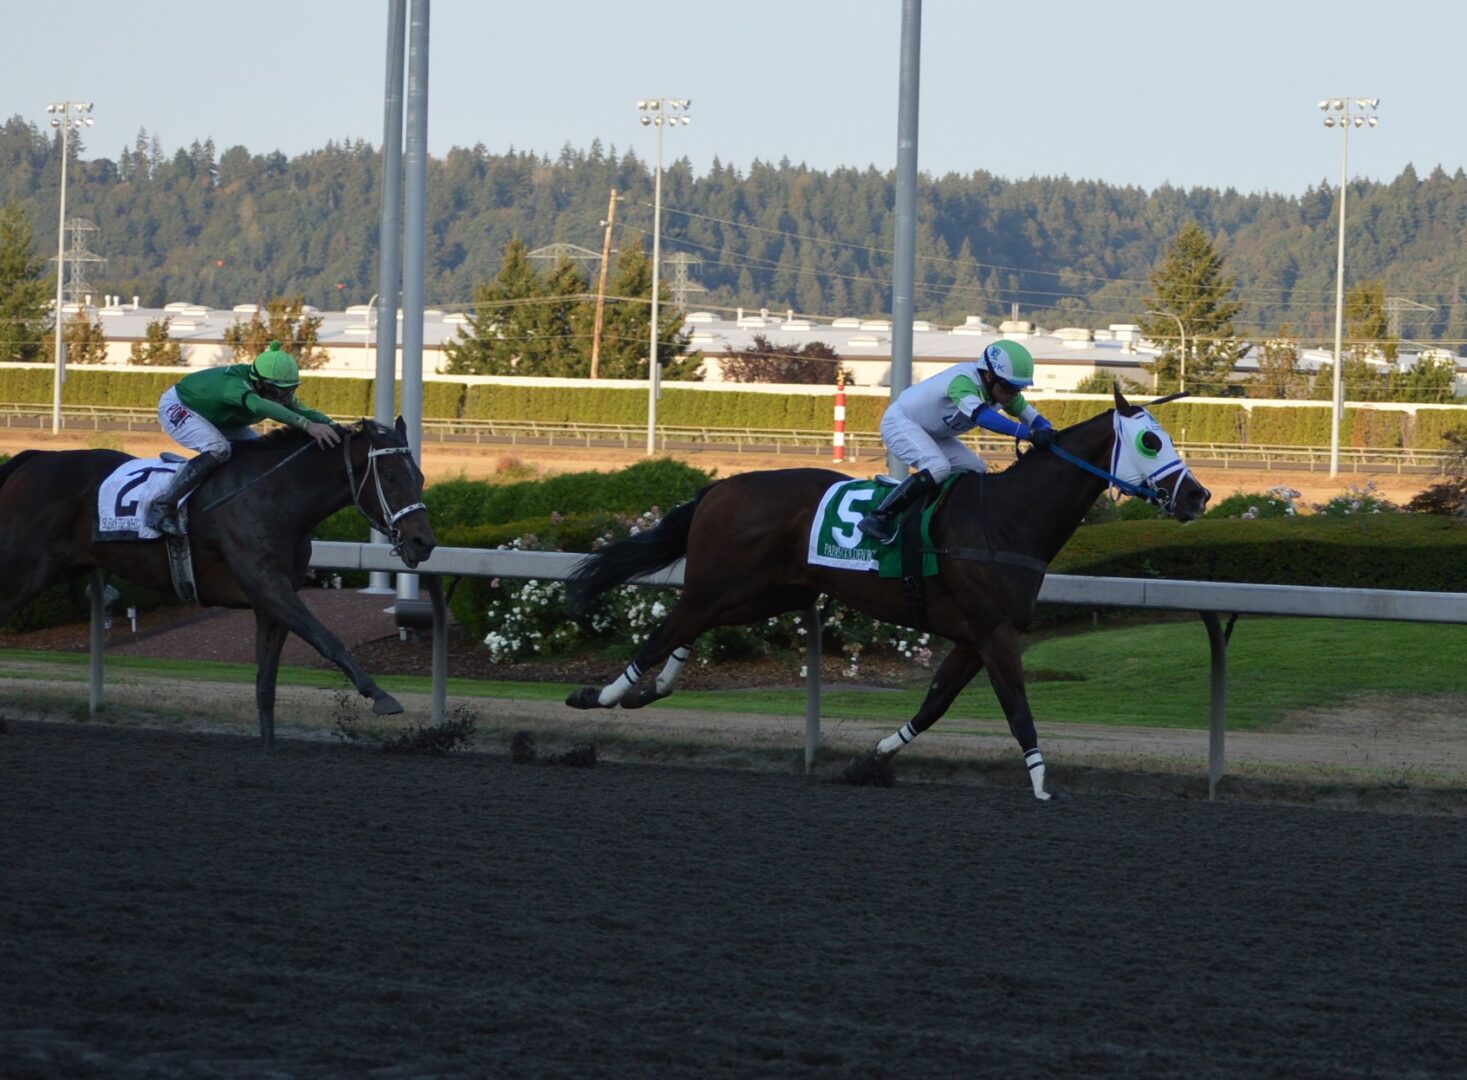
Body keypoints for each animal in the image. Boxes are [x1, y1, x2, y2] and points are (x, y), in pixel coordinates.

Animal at [0, 416, 434, 745]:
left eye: (420, 476)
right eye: (390, 476)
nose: (423, 542)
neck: (276, 495)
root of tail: (32, 459)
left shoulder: (271, 602)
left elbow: (265, 684)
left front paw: (268, 749)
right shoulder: (268, 586)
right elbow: (328, 639)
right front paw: (382, 696)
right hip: (22, 573)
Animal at [560, 393, 1202, 798]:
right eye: (1150, 440)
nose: (1198, 496)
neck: (1006, 521)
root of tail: (718, 487)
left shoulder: (975, 636)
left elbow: (935, 702)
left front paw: (872, 758)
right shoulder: (995, 632)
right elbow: (1018, 709)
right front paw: (1043, 785)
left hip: (767, 592)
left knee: (691, 626)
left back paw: (653, 689)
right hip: (727, 583)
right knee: (669, 625)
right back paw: (603, 694)